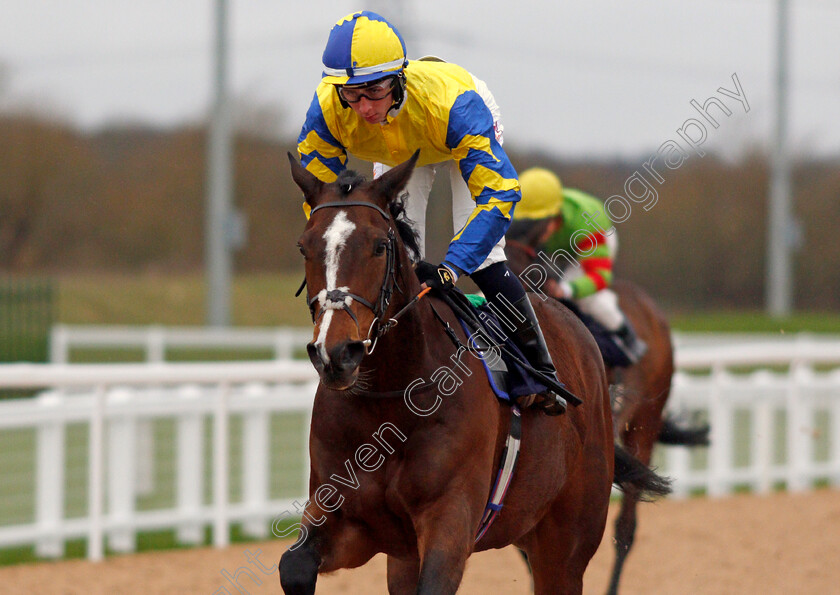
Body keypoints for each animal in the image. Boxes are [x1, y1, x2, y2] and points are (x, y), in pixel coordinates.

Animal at [280, 151, 668, 592]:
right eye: (304, 247)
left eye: (379, 246)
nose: (336, 353)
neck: (392, 402)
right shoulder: (356, 522)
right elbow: (293, 565)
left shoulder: (451, 518)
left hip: (568, 539)